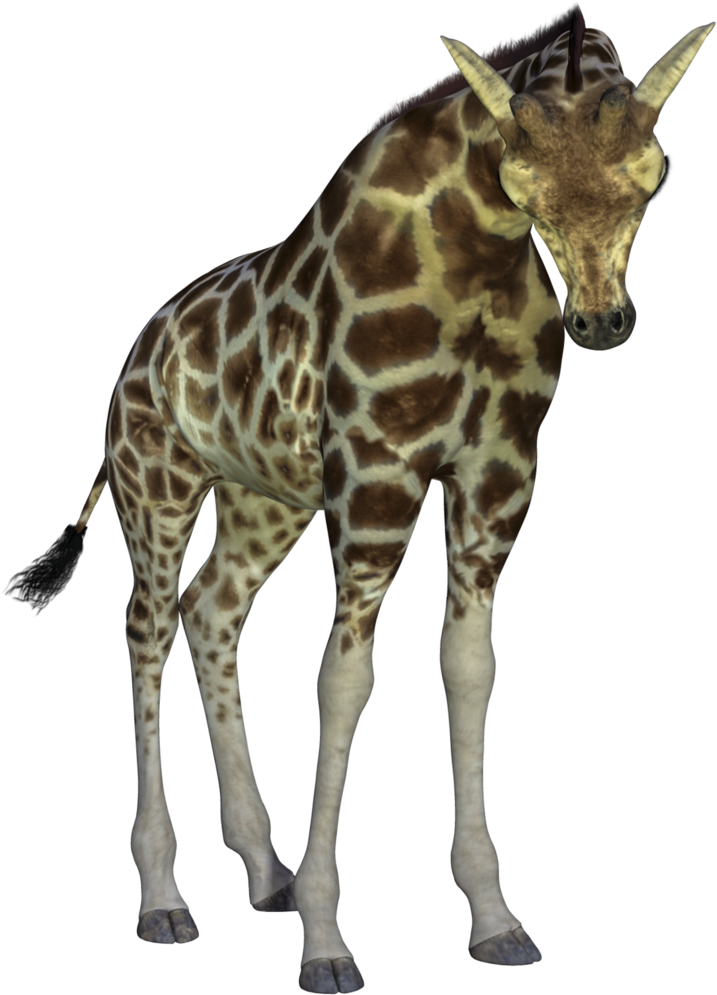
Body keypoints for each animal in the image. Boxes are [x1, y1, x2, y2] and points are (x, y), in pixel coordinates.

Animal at [4, 4, 714, 991]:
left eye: (657, 175)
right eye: (519, 181)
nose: (601, 321)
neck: (474, 262)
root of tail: (134, 355)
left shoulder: (497, 479)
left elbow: (468, 666)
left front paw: (493, 916)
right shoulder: (378, 475)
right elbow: (343, 680)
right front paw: (326, 938)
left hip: (266, 501)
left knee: (211, 609)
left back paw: (263, 868)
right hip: (157, 483)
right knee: (146, 626)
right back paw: (164, 897)